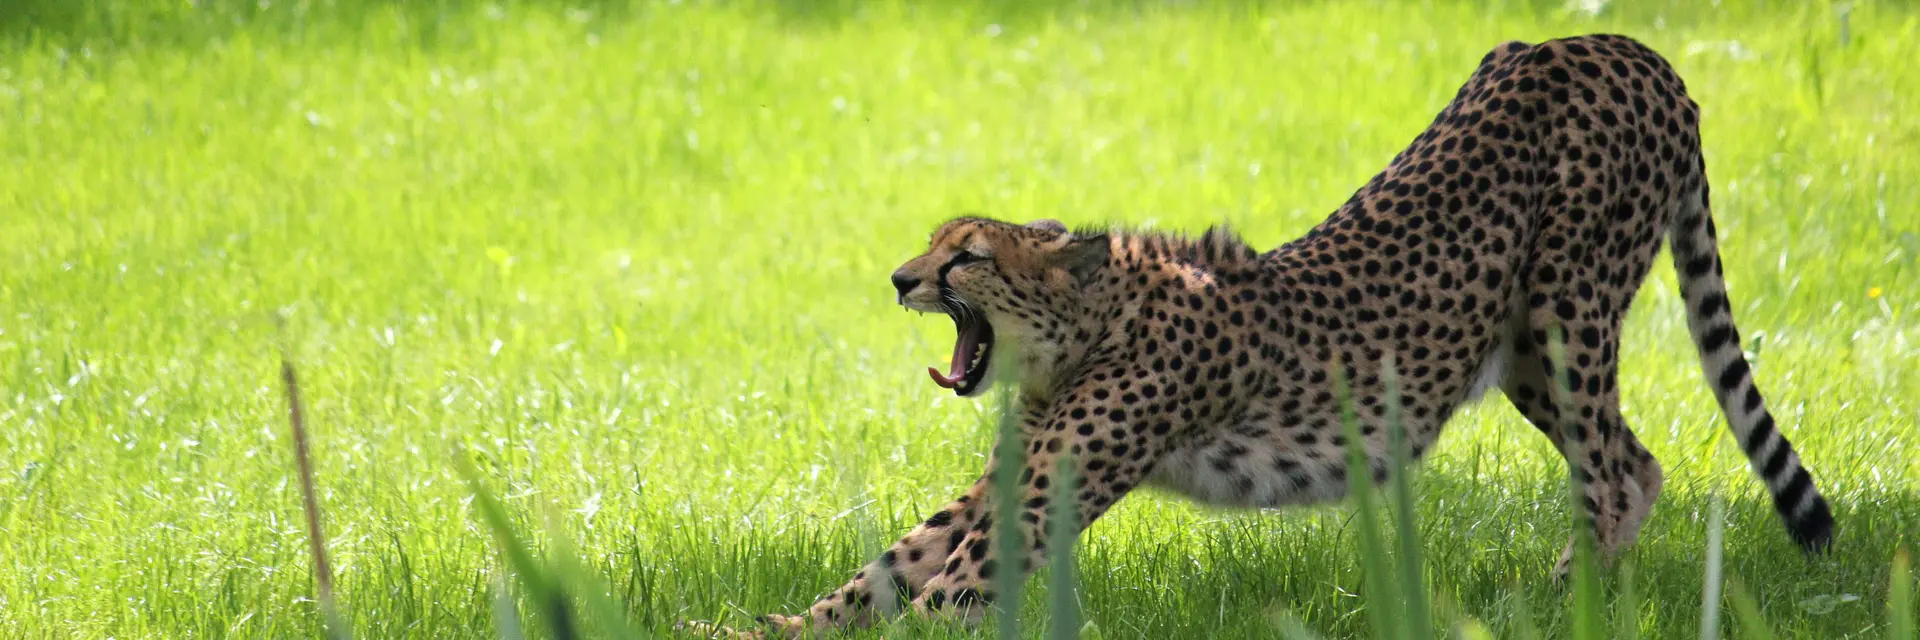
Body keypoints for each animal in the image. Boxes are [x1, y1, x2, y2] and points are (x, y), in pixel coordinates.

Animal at [684, 33, 1835, 638]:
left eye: (964, 257)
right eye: (931, 244)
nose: (899, 278)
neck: (1094, 326)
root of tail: (1618, 43)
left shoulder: (1039, 505)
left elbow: (938, 592)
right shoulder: (1007, 481)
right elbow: (883, 567)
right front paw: (759, 628)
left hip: (1566, 312)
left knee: (1610, 470)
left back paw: (1560, 604)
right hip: (1520, 352)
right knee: (1635, 463)